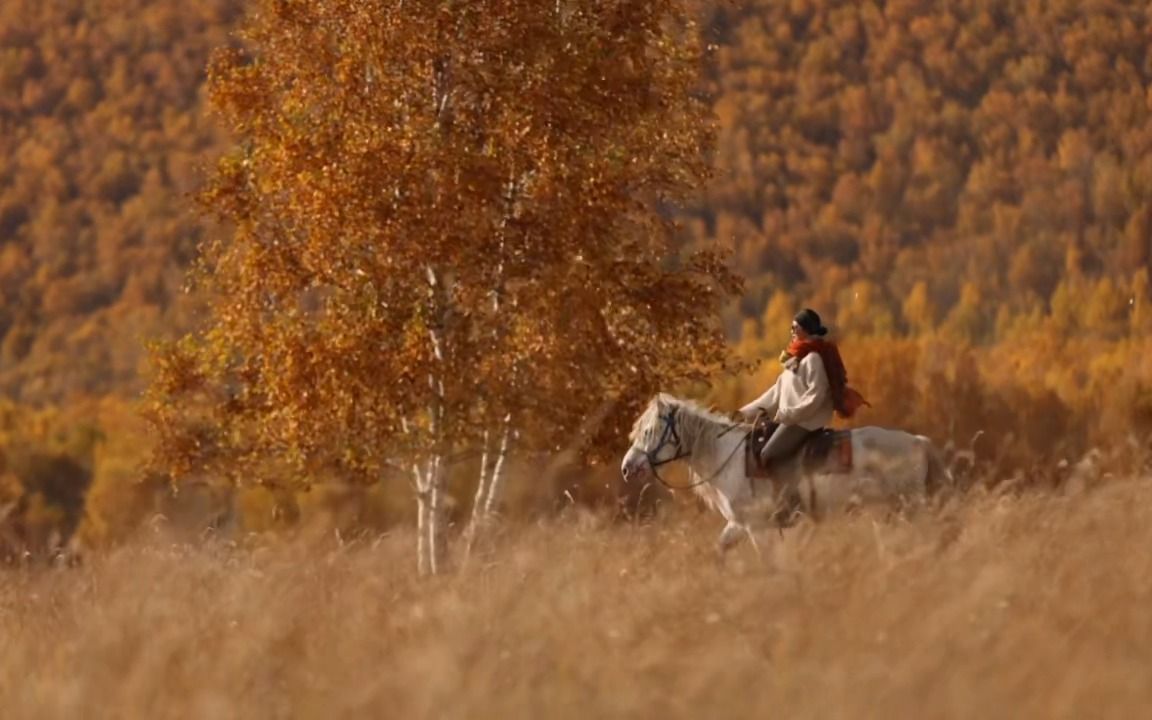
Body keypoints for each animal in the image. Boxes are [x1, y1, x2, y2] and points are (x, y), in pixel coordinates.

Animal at [622, 393, 953, 555]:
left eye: (649, 431)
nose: (627, 467)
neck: (726, 456)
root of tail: (918, 442)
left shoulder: (757, 527)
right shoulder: (738, 525)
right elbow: (720, 550)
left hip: (910, 506)